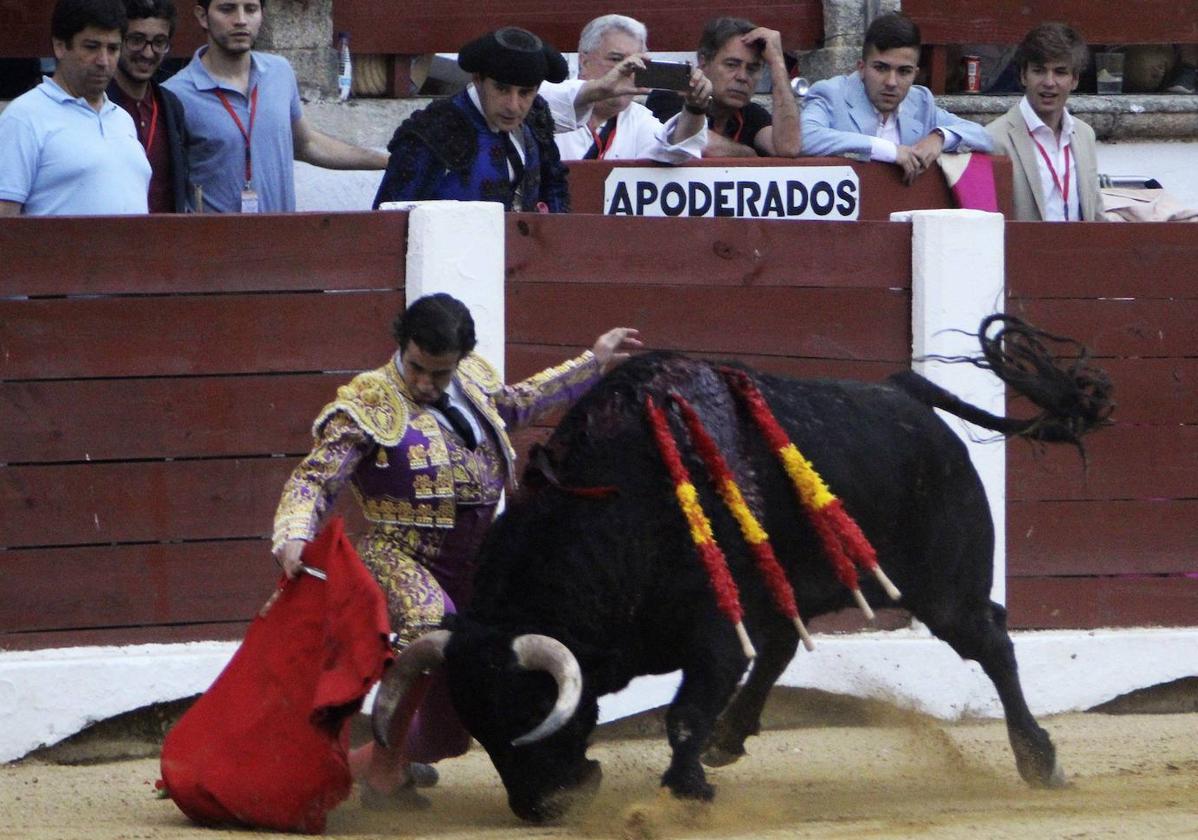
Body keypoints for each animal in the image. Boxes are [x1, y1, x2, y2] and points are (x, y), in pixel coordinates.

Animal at [373, 313, 1111, 819]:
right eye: (475, 724)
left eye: (528, 707)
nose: (540, 808)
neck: (618, 504)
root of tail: (906, 397)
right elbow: (713, 693)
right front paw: (699, 769)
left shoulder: (717, 633)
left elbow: (683, 712)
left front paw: (686, 790)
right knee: (785, 645)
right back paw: (730, 739)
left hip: (944, 591)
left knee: (992, 641)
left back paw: (1039, 761)